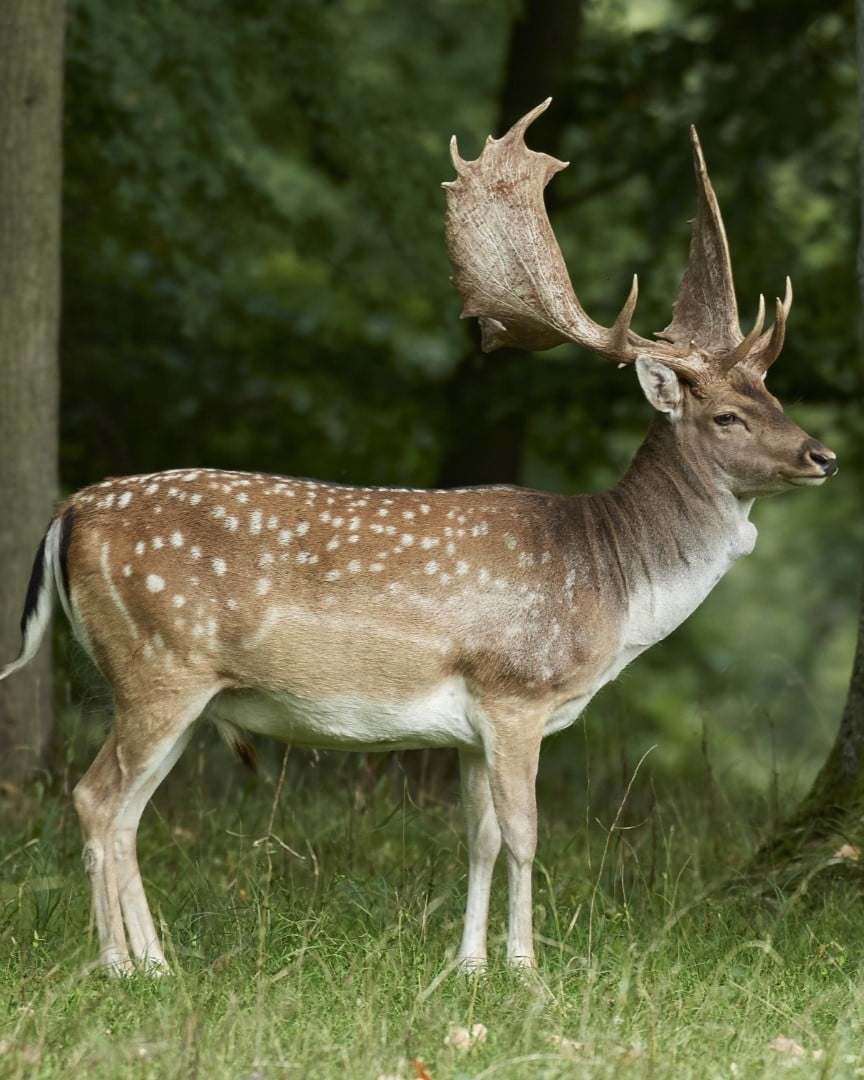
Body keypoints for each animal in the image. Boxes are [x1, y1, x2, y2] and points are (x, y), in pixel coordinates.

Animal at [0, 100, 837, 975]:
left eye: (777, 396)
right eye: (728, 416)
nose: (825, 455)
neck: (610, 587)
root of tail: (68, 513)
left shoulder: (468, 727)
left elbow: (478, 839)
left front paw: (468, 965)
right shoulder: (514, 690)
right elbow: (526, 836)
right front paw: (526, 969)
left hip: (175, 686)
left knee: (125, 810)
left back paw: (157, 964)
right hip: (157, 667)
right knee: (96, 798)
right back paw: (121, 966)